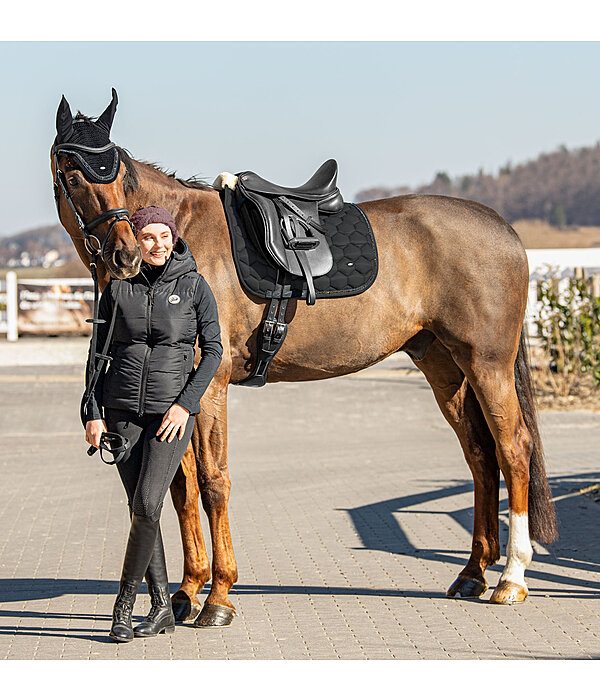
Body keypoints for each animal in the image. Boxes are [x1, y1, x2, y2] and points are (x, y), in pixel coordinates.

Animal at [50, 91, 556, 624]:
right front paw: (187, 590)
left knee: (513, 449)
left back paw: (512, 578)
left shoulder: (208, 388)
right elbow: (180, 487)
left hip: (487, 363)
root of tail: (502, 228)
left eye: (117, 174)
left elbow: (211, 482)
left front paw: (218, 595)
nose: (126, 254)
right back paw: (473, 573)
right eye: (74, 175)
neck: (178, 252)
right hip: (445, 367)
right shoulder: (176, 400)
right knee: (480, 455)